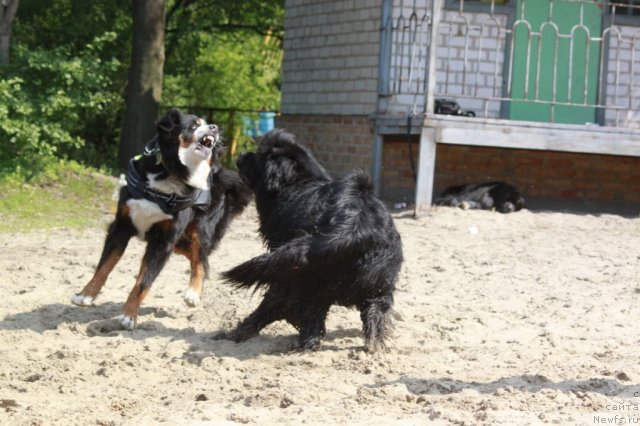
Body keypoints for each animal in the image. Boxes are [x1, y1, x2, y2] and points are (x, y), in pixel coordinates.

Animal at [70, 106, 250, 330]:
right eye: (194, 125)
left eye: (207, 124)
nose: (215, 127)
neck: (171, 173)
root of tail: (223, 175)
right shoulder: (121, 227)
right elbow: (104, 266)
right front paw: (86, 295)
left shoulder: (163, 241)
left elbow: (144, 281)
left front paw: (129, 315)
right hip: (180, 242)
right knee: (198, 257)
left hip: (198, 231)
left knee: (200, 258)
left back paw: (193, 293)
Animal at [218, 130, 402, 352]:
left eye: (259, 156)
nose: (242, 154)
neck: (297, 184)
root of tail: (355, 224)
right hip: (377, 285)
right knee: (371, 314)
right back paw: (372, 345)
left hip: (302, 279)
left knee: (289, 313)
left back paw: (240, 335)